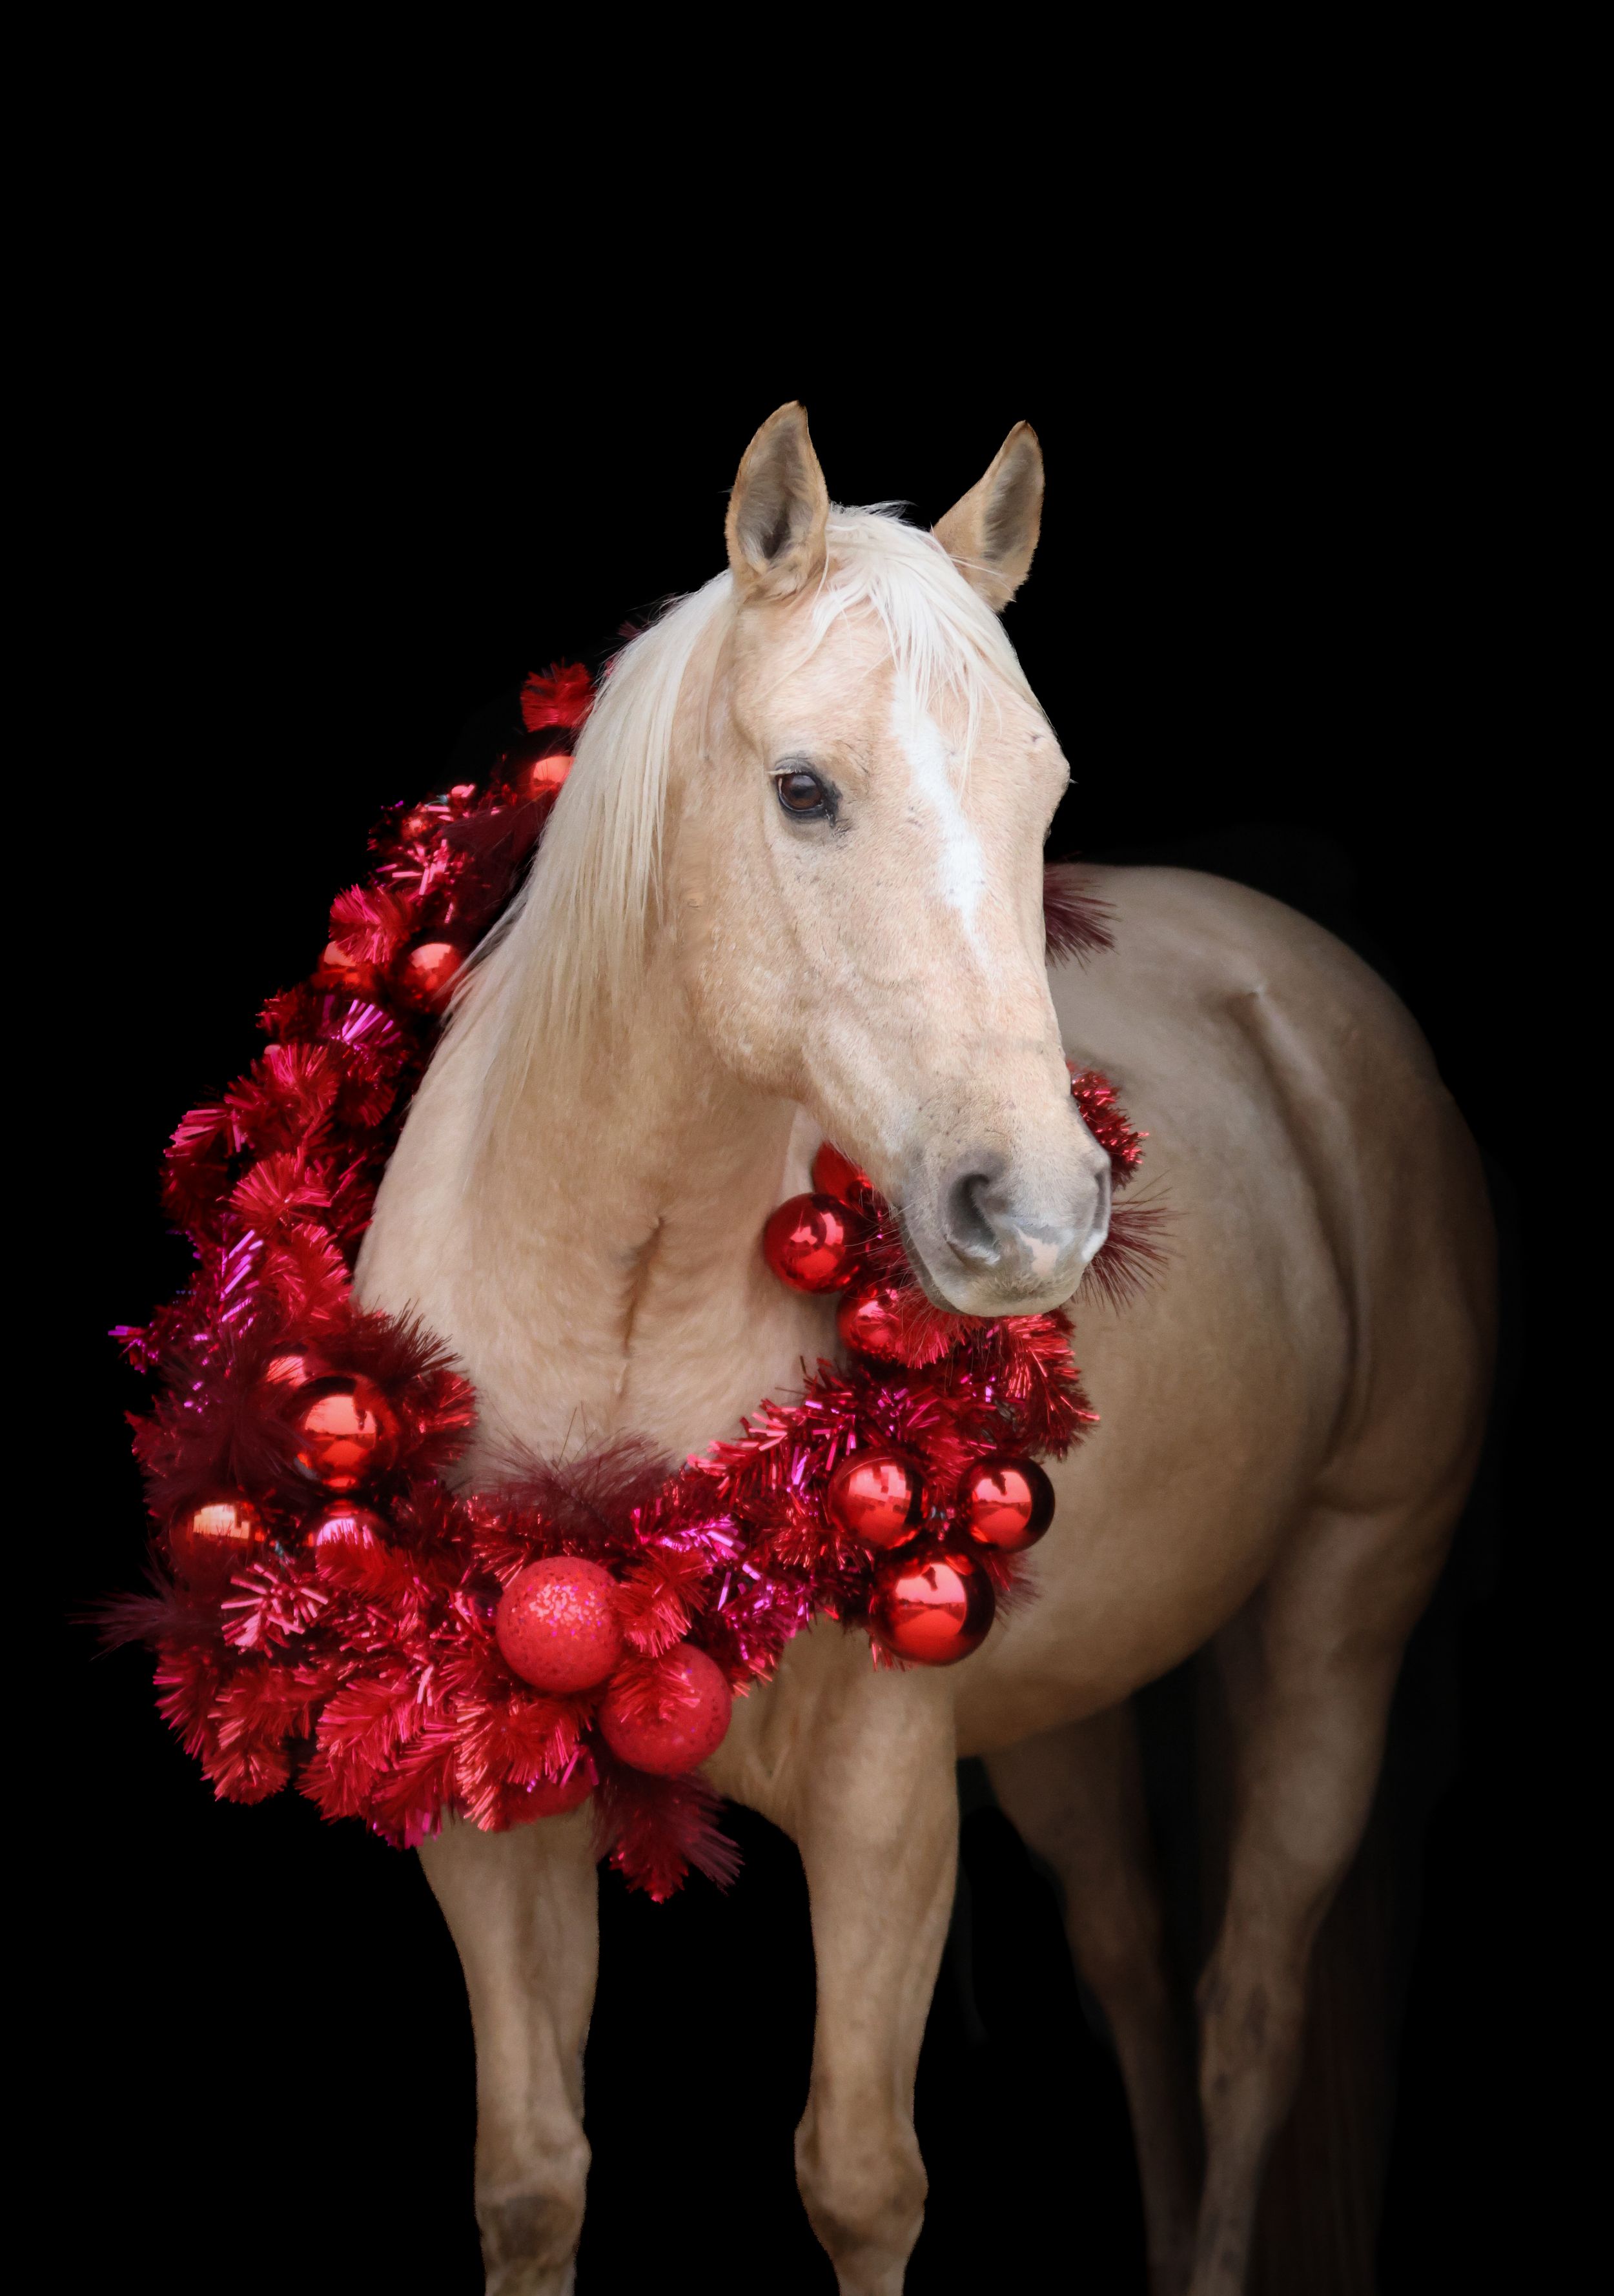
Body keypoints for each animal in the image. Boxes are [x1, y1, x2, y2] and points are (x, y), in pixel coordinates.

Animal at [355, 403, 1495, 2295]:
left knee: (1243, 2009)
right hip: (1059, 1711)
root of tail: (1298, 983)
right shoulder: (486, 1824)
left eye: (1043, 792)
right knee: (1126, 1967)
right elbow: (530, 2177)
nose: (1034, 1211)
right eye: (804, 789)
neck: (615, 1315)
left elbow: (858, 2177)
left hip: (1344, 1612)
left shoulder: (885, 1803)